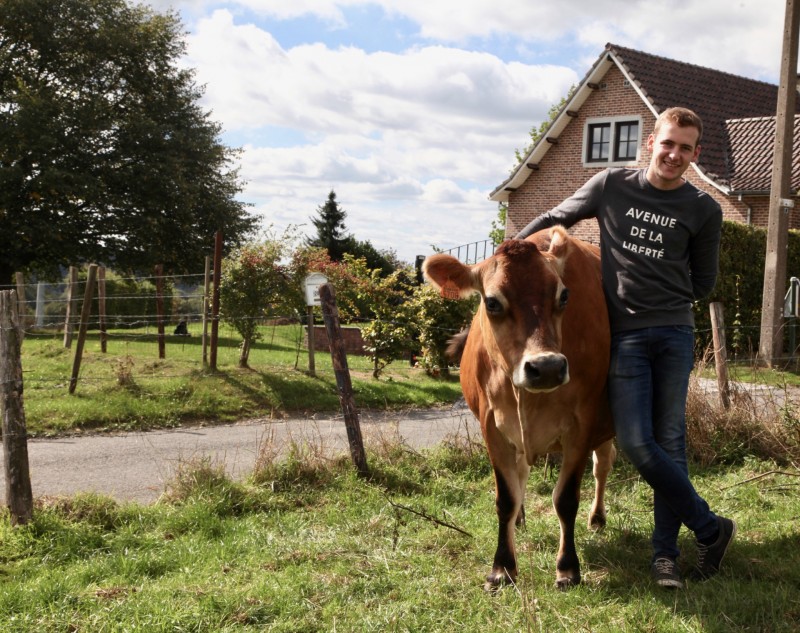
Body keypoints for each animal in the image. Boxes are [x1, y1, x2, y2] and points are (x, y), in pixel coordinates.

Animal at [422, 226, 616, 588]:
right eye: (492, 302)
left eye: (564, 296)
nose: (548, 367)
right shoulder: (491, 427)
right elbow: (506, 498)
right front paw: (502, 567)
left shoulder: (582, 425)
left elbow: (566, 499)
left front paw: (567, 568)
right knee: (522, 475)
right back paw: (521, 520)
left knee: (602, 468)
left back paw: (597, 518)